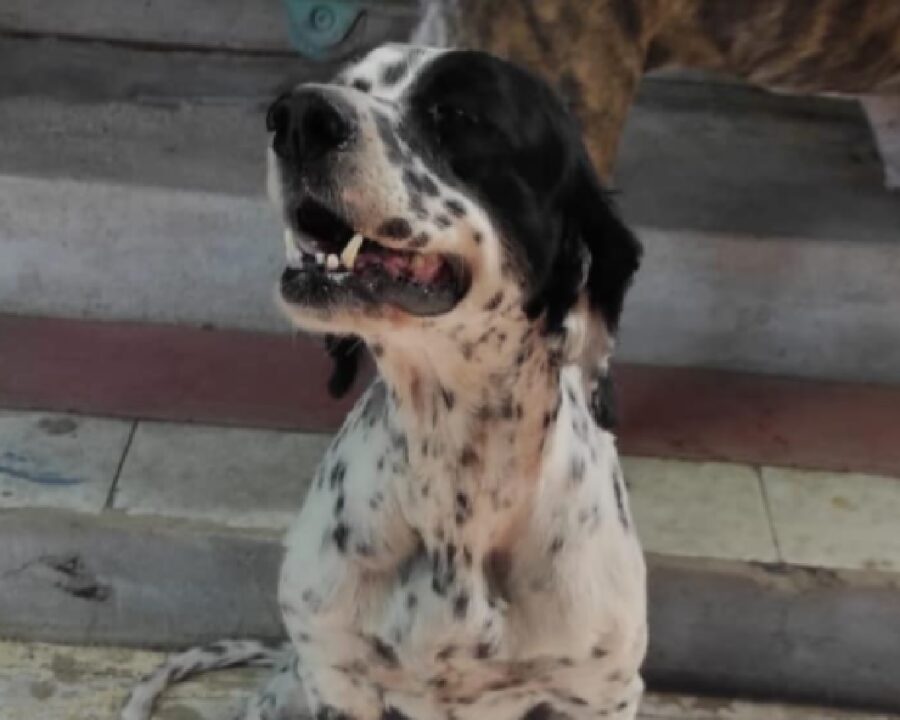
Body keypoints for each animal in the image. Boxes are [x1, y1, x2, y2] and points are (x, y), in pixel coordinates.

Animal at [121, 43, 648, 720]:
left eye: (458, 113)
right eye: (351, 83)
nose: (298, 117)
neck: (454, 485)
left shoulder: (600, 691)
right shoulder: (336, 674)